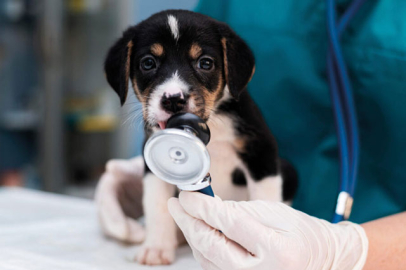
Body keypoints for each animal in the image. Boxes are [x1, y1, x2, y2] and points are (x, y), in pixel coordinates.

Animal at [103, 10, 296, 266]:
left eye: (205, 63)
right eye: (148, 63)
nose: (173, 99)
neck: (211, 123)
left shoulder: (261, 152)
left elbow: (265, 201)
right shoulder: (152, 163)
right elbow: (157, 207)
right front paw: (156, 248)